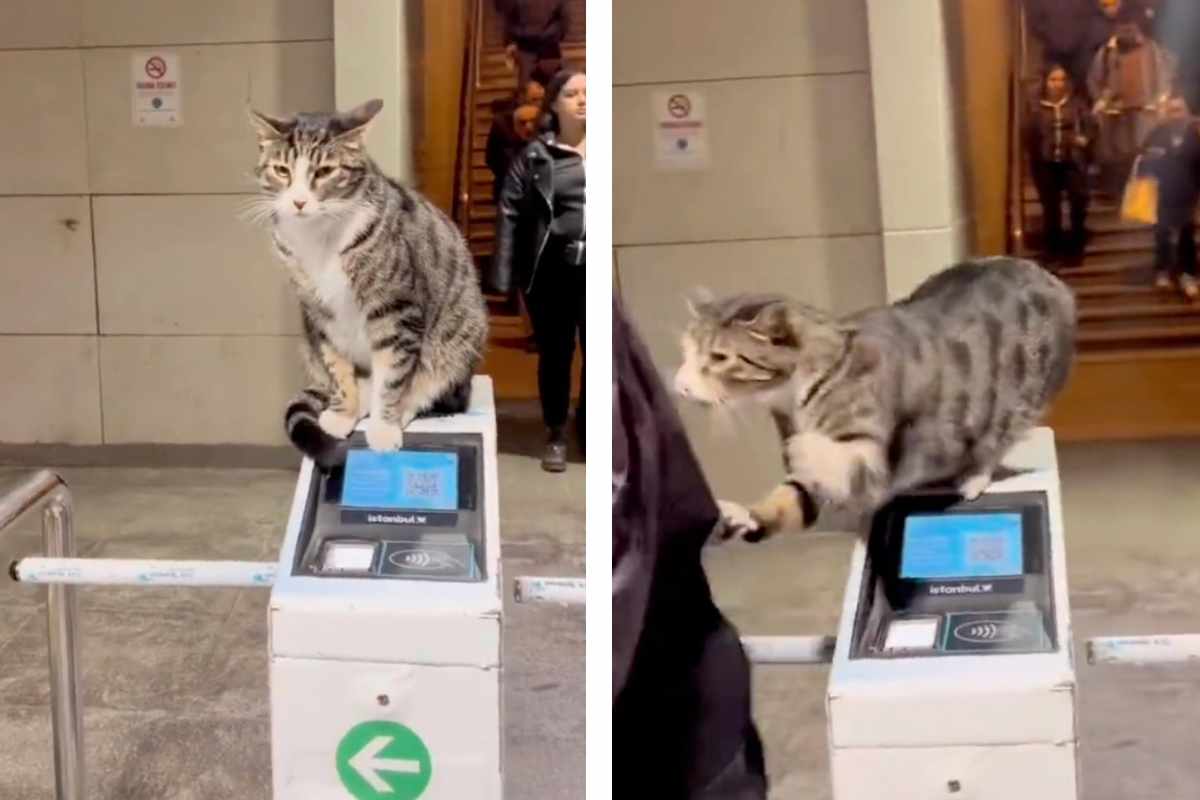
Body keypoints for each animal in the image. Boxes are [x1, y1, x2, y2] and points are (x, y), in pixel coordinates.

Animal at [243, 98, 487, 470]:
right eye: (282, 170)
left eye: (325, 172)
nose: (298, 201)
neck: (319, 236)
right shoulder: (318, 311)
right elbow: (337, 366)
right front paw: (343, 413)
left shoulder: (396, 308)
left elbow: (393, 372)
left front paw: (384, 427)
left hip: (461, 336)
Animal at [676, 256, 1080, 544]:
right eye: (686, 351)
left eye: (718, 358)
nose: (680, 385)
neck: (796, 396)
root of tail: (1050, 278)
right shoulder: (810, 477)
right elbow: (792, 499)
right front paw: (747, 516)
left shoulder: (884, 458)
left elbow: (854, 467)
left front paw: (810, 448)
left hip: (1023, 402)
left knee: (996, 439)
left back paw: (973, 475)